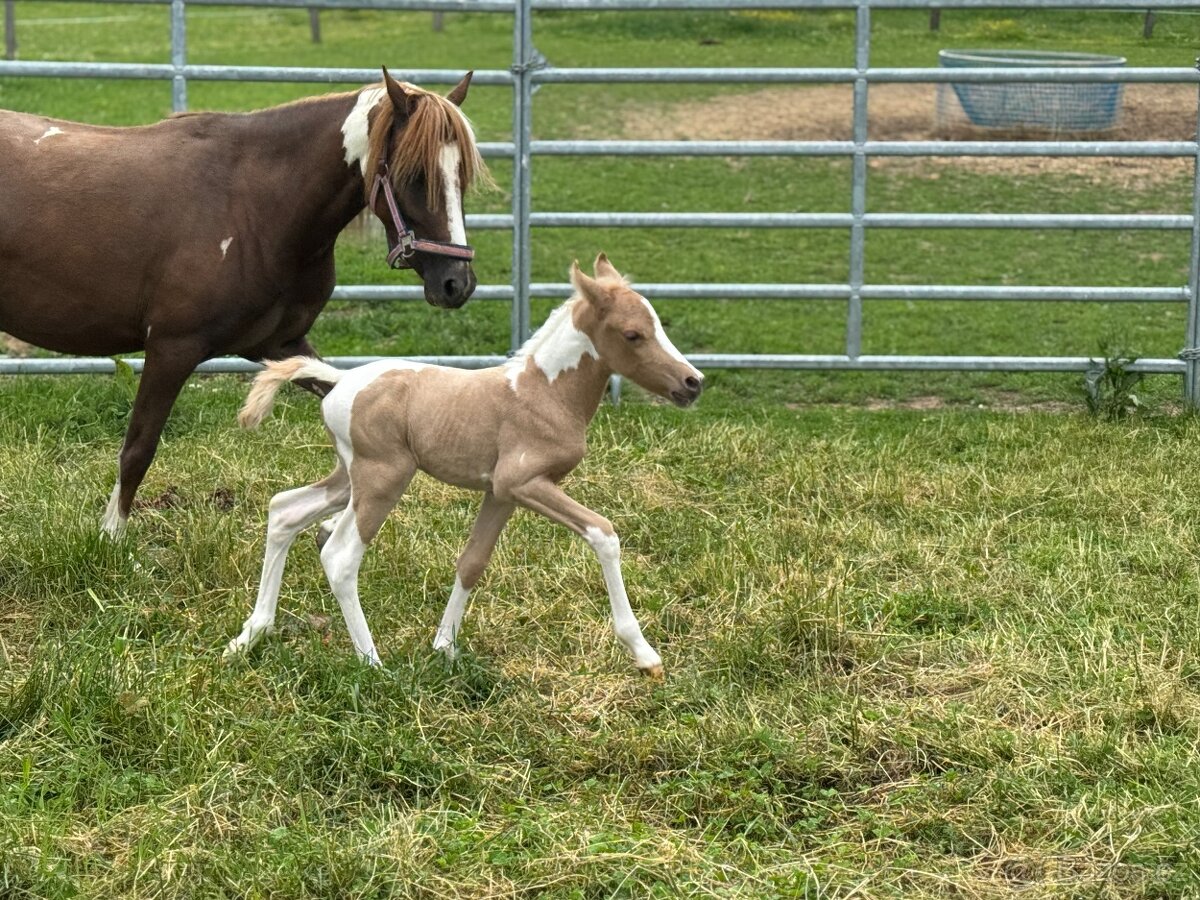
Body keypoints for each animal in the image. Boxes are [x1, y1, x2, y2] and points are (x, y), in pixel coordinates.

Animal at [0, 67, 489, 535]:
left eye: (461, 177)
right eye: (415, 175)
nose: (456, 283)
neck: (253, 203)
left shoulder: (279, 345)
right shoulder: (171, 349)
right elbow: (138, 447)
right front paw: (111, 539)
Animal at [226, 254, 704, 678]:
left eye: (658, 325)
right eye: (633, 334)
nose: (693, 383)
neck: (544, 393)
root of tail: (341, 380)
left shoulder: (501, 493)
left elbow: (472, 561)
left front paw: (445, 647)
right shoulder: (524, 482)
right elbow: (604, 534)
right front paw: (644, 654)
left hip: (349, 477)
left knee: (284, 510)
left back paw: (250, 635)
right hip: (383, 477)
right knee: (340, 555)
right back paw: (372, 664)